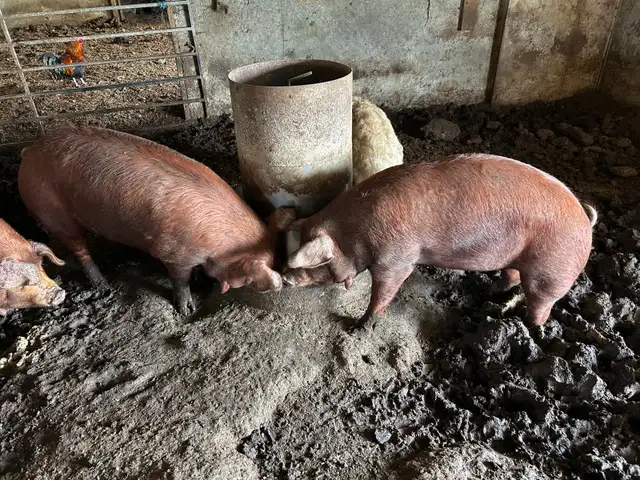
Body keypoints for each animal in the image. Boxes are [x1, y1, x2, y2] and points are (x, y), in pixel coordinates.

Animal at [18, 126, 284, 315]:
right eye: (248, 277)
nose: (277, 284)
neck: (217, 243)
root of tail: (29, 151)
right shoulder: (172, 253)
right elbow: (180, 281)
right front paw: (187, 310)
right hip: (52, 211)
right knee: (79, 248)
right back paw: (102, 286)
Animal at [279, 153, 597, 331]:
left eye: (315, 261)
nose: (284, 277)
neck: (352, 232)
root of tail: (585, 220)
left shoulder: (396, 259)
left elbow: (383, 292)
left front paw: (357, 328)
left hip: (552, 271)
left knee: (541, 305)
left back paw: (528, 327)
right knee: (512, 276)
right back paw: (490, 297)